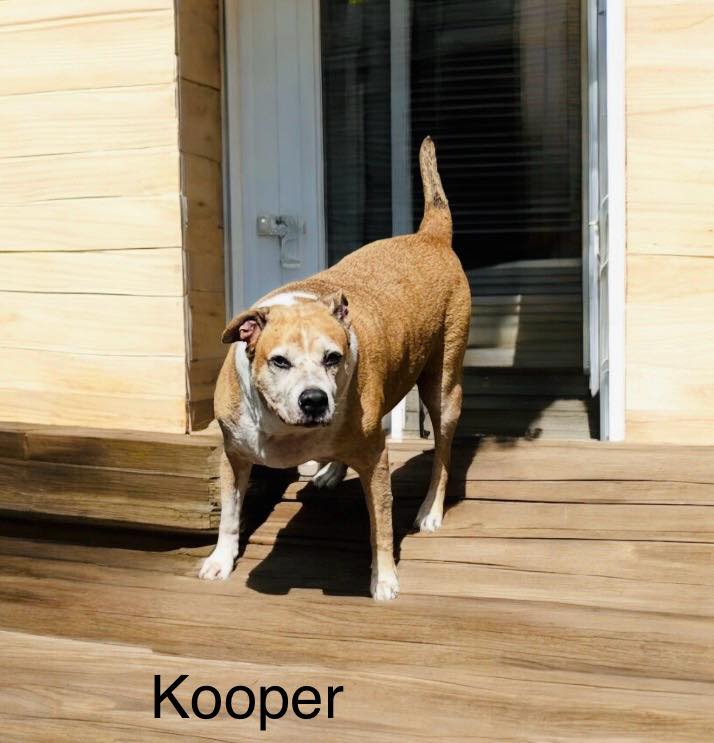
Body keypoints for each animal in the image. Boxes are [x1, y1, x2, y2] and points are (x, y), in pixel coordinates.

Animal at [199, 137, 471, 600]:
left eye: (334, 358)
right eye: (279, 361)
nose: (314, 399)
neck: (284, 429)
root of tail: (430, 236)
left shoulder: (376, 459)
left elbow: (380, 525)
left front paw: (384, 579)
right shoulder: (233, 454)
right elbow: (230, 514)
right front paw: (221, 560)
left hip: (443, 388)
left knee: (443, 452)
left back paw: (430, 509)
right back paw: (331, 471)